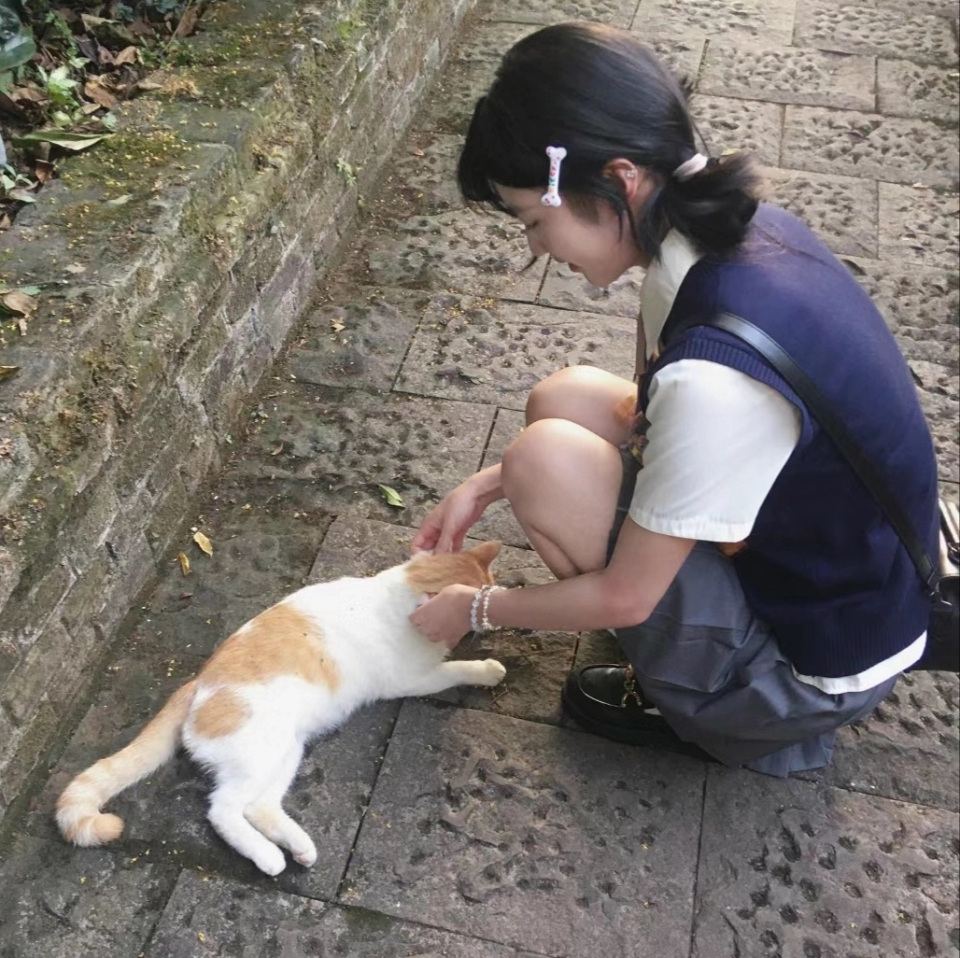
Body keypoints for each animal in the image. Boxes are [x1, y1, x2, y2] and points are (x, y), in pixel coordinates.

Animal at [56, 541, 506, 876]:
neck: (398, 599)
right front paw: (487, 668)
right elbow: (453, 670)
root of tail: (196, 684)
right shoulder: (411, 679)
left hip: (287, 750)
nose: (495, 619)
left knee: (258, 806)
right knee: (223, 810)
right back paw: (269, 857)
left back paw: (299, 847)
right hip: (260, 754)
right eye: (474, 613)